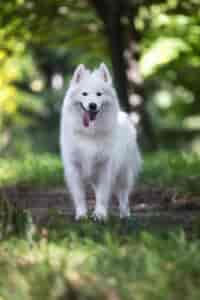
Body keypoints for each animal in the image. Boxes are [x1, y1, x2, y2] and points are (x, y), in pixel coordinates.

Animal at [60, 63, 141, 220]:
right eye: (84, 94)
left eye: (99, 94)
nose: (92, 105)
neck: (89, 134)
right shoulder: (75, 168)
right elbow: (80, 195)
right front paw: (82, 214)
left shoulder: (104, 167)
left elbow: (103, 195)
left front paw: (100, 215)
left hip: (123, 172)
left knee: (123, 194)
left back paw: (124, 214)